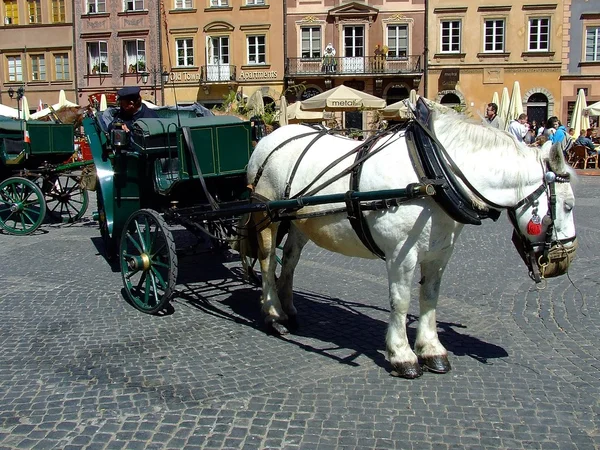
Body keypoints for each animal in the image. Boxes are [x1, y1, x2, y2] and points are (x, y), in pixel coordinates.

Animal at [239, 107, 576, 378]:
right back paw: (273, 313)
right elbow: (400, 302)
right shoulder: (402, 255)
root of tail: (267, 139)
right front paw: (402, 355)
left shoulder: (440, 254)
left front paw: (431, 349)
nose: (564, 262)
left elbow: (430, 297)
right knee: (267, 262)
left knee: (290, 260)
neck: (433, 175)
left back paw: (289, 308)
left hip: (298, 221)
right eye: (569, 206)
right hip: (266, 216)